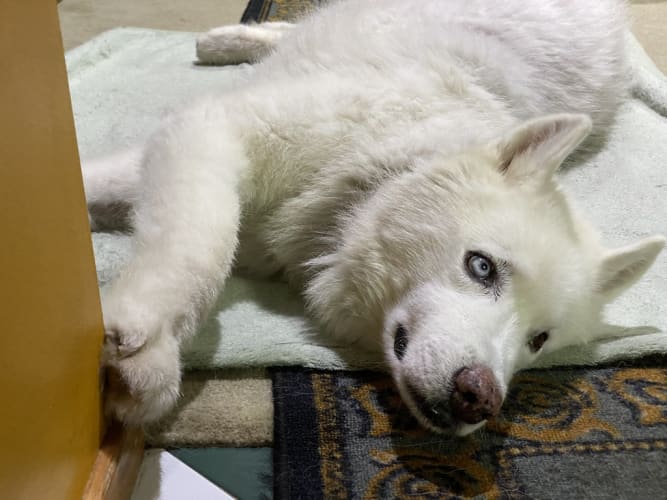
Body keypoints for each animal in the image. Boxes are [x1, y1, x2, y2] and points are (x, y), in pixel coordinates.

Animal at [84, 0, 665, 435]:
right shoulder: (211, 130)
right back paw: (227, 42)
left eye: (539, 339)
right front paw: (150, 339)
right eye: (481, 267)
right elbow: (199, 243)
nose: (480, 399)